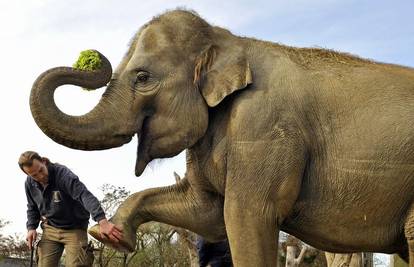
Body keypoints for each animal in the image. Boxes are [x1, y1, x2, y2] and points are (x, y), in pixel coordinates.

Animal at [29, 8, 414, 267]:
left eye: (142, 77)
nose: (92, 60)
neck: (229, 39)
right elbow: (207, 214)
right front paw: (113, 235)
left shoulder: (263, 129)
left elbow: (245, 216)